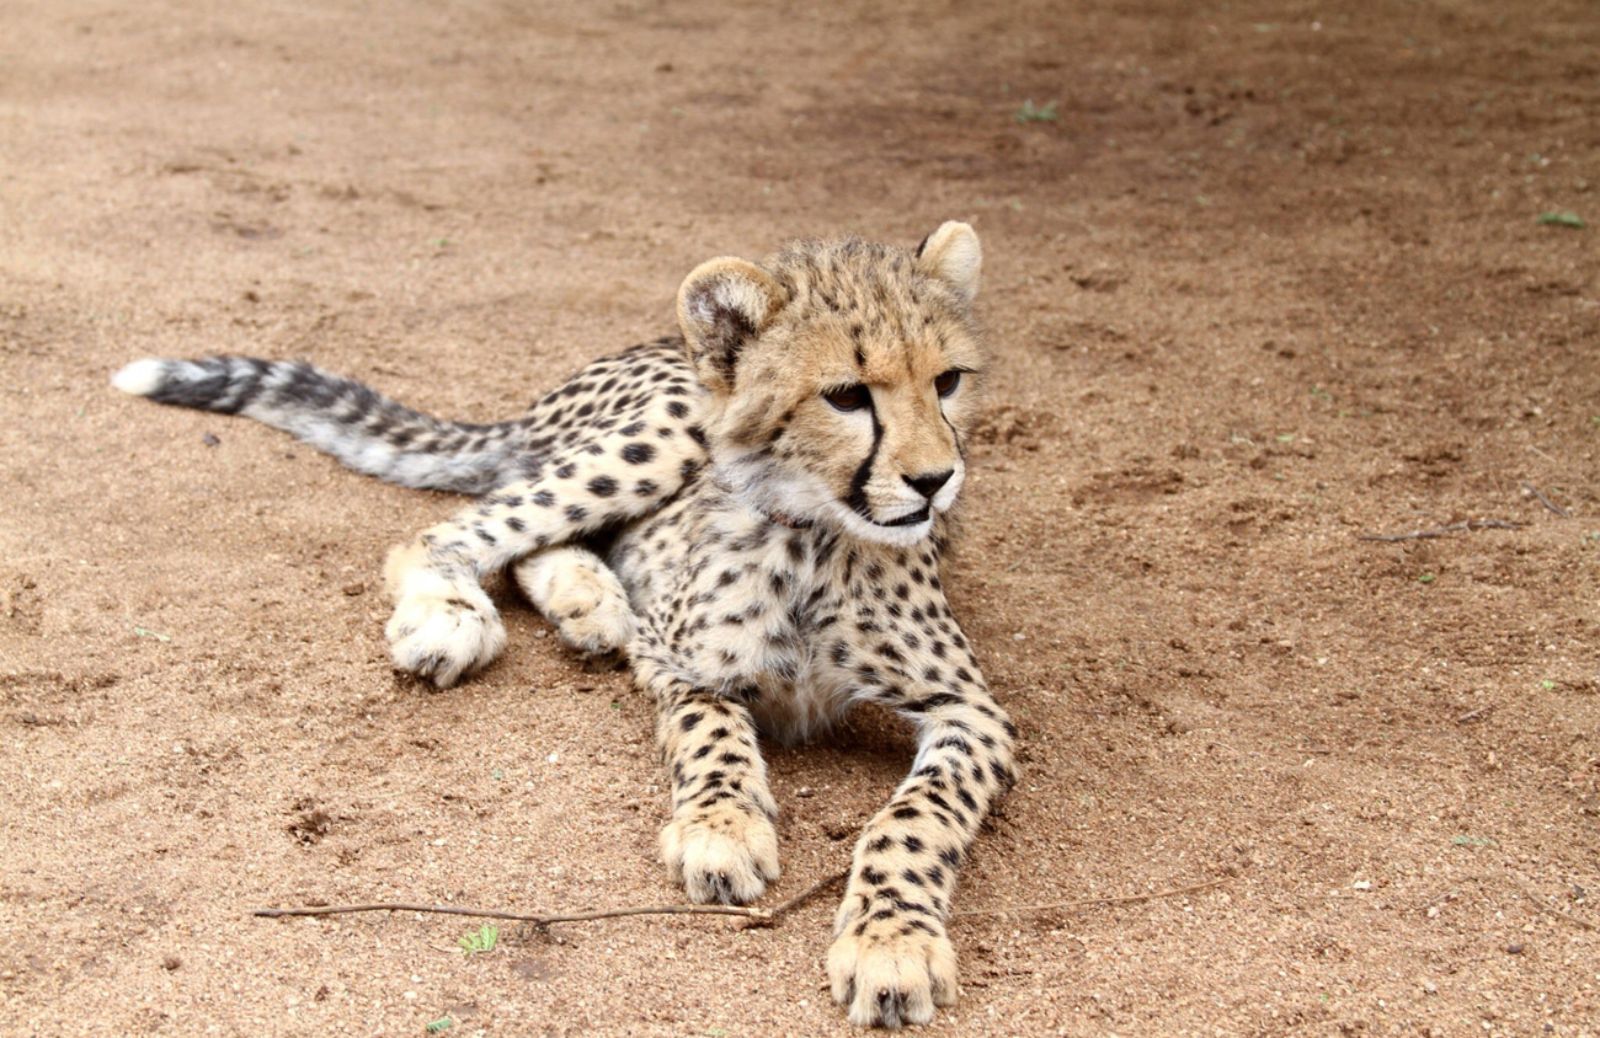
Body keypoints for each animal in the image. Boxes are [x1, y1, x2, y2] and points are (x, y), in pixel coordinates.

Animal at [112, 222, 1017, 1023]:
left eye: (948, 381)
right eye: (846, 395)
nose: (936, 480)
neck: (815, 536)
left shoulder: (975, 712)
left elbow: (914, 817)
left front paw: (891, 945)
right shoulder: (674, 659)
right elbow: (713, 733)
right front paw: (721, 826)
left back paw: (590, 602)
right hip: (655, 442)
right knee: (462, 528)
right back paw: (457, 616)